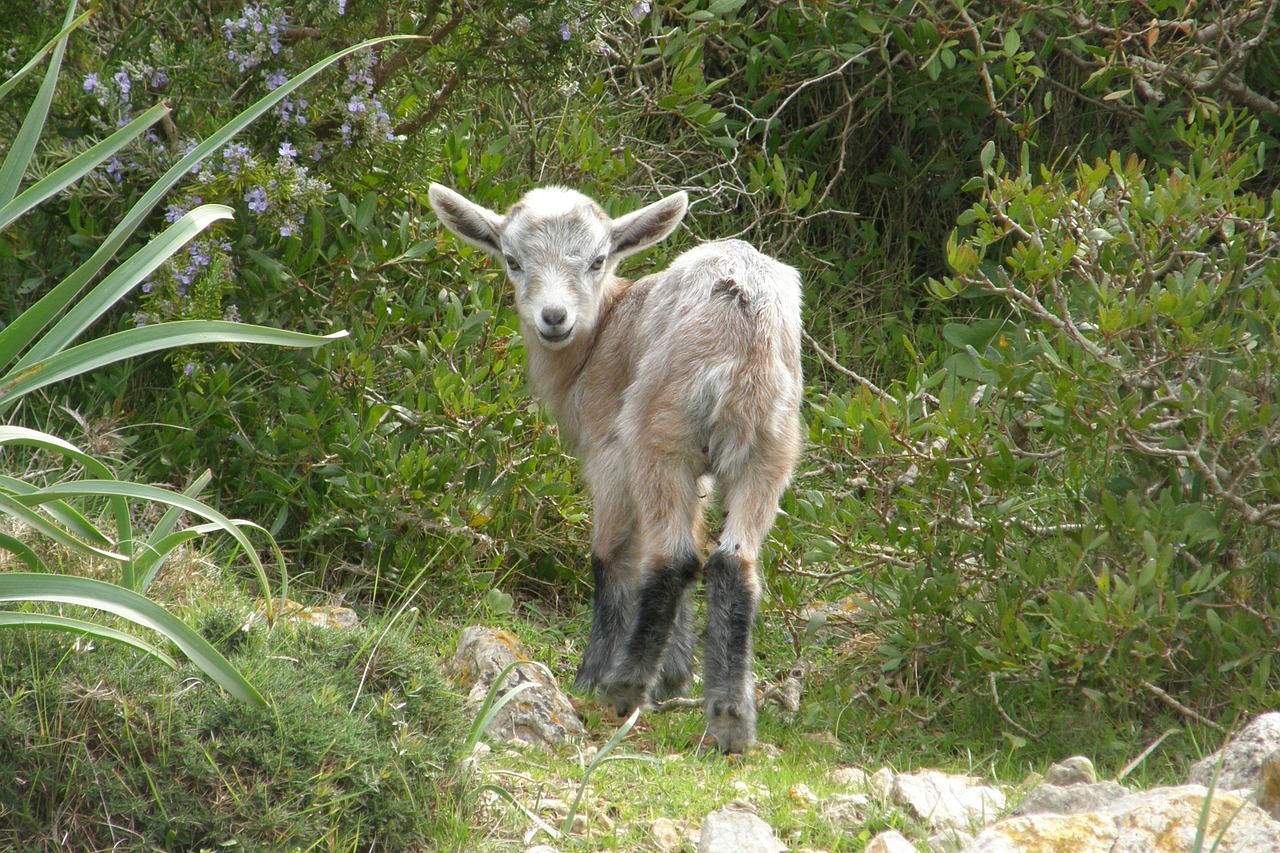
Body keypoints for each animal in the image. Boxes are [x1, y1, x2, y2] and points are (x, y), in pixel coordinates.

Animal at [430, 183, 798, 747]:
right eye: (513, 260)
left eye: (597, 260)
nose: (554, 317)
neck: (602, 334)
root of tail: (743, 336)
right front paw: (675, 675)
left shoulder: (610, 452)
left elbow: (610, 556)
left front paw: (594, 674)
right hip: (769, 448)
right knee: (732, 562)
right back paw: (730, 719)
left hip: (659, 435)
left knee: (673, 558)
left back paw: (622, 688)